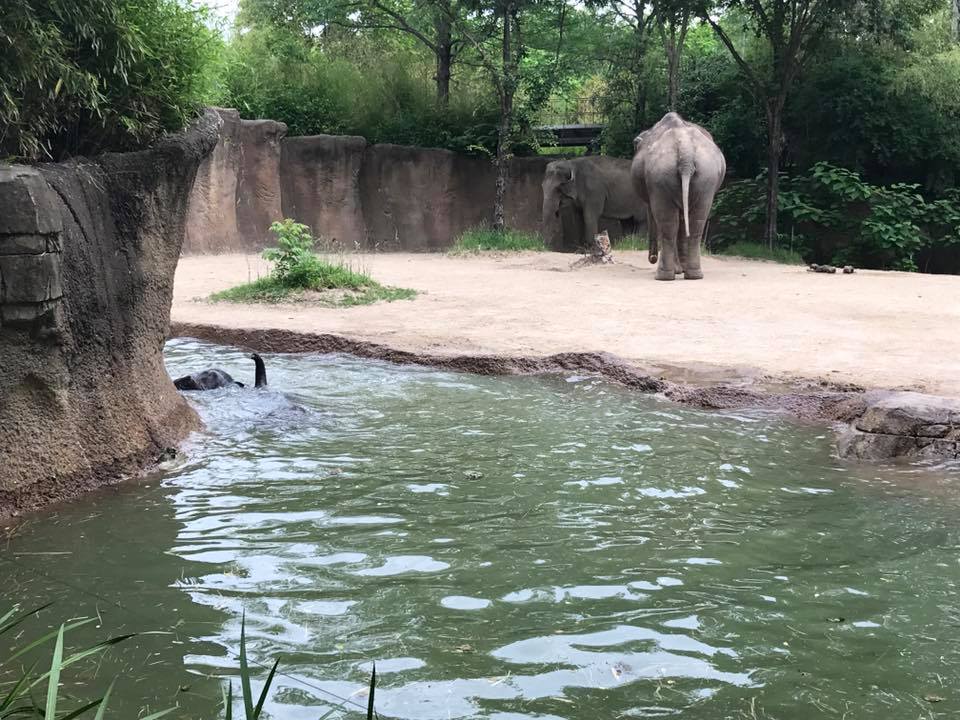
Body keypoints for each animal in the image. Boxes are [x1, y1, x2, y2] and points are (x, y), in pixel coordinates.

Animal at [631, 112, 726, 280]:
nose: (652, 258)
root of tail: (685, 149)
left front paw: (678, 270)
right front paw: (680, 270)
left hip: (662, 177)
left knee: (668, 223)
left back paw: (663, 276)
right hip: (704, 177)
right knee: (696, 222)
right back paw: (693, 275)